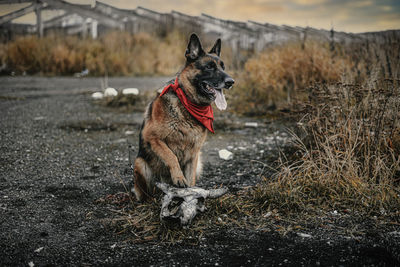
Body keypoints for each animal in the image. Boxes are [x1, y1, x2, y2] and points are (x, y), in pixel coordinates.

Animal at [134, 33, 234, 201]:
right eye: (209, 67)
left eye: (223, 67)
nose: (231, 82)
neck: (187, 102)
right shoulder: (152, 137)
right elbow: (170, 156)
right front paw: (178, 178)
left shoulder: (194, 154)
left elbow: (191, 178)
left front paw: (191, 192)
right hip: (140, 163)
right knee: (146, 192)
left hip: (199, 161)